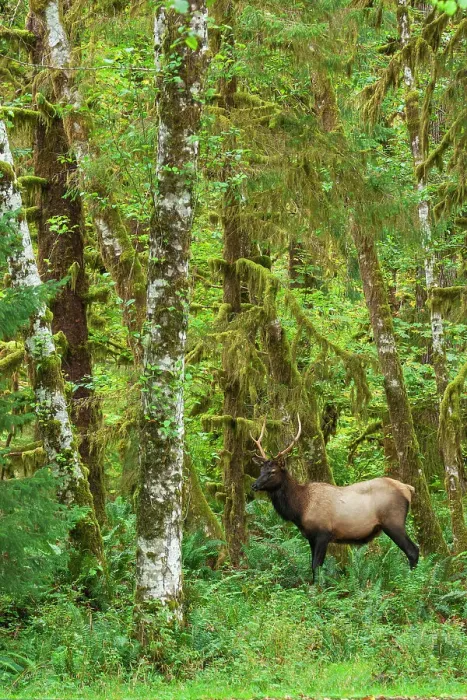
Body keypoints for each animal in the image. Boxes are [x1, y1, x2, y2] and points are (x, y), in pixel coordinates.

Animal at [250, 416, 419, 582]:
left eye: (272, 471)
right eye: (261, 470)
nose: (254, 485)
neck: (300, 508)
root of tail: (408, 488)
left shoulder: (323, 533)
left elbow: (316, 566)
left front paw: (319, 588)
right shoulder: (311, 537)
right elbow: (313, 566)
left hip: (393, 521)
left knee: (413, 550)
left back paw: (412, 581)